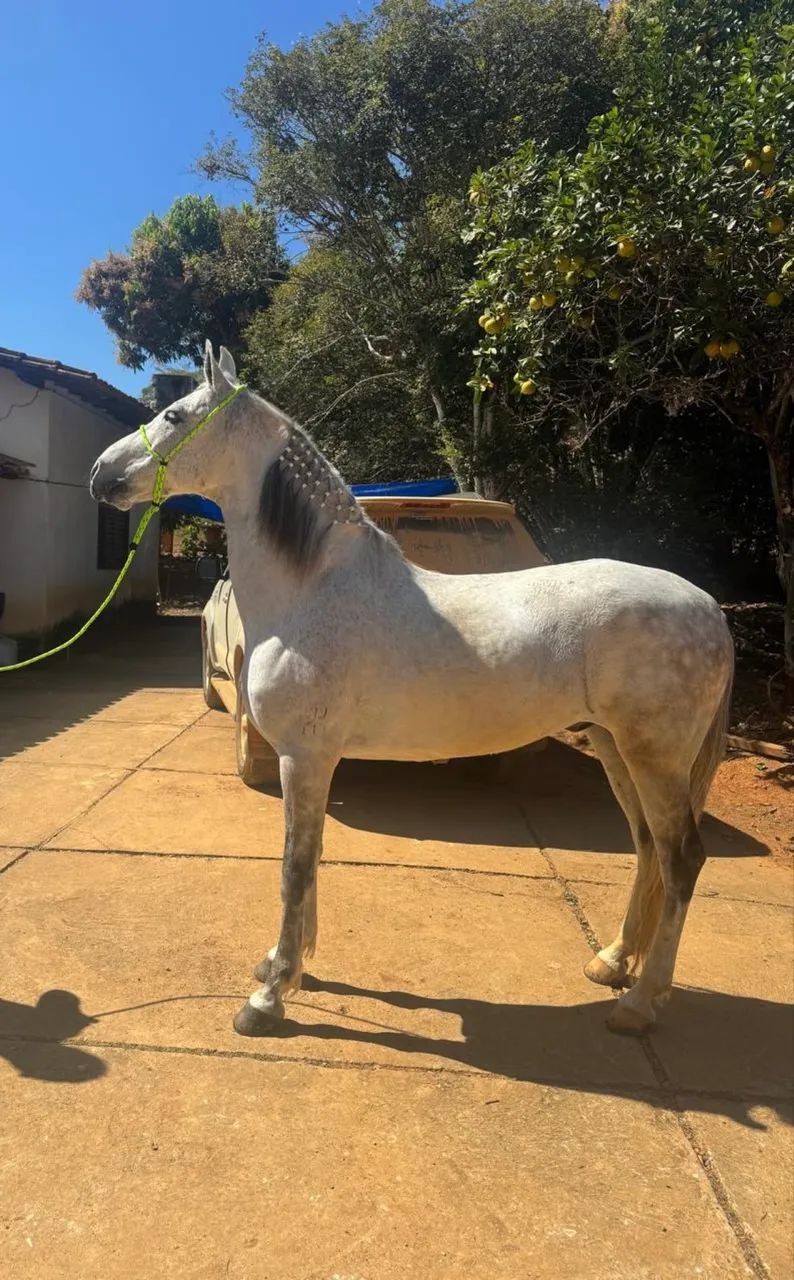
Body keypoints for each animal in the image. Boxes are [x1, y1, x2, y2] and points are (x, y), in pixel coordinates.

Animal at [90, 342, 734, 1040]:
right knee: (647, 850)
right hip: (616, 748)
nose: (101, 475)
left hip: (655, 758)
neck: (313, 589)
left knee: (682, 861)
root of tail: (709, 608)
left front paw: (269, 997)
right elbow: (312, 858)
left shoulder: (302, 757)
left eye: (175, 416)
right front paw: (292, 965)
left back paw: (639, 1004)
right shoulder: (315, 760)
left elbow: (295, 866)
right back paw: (612, 963)